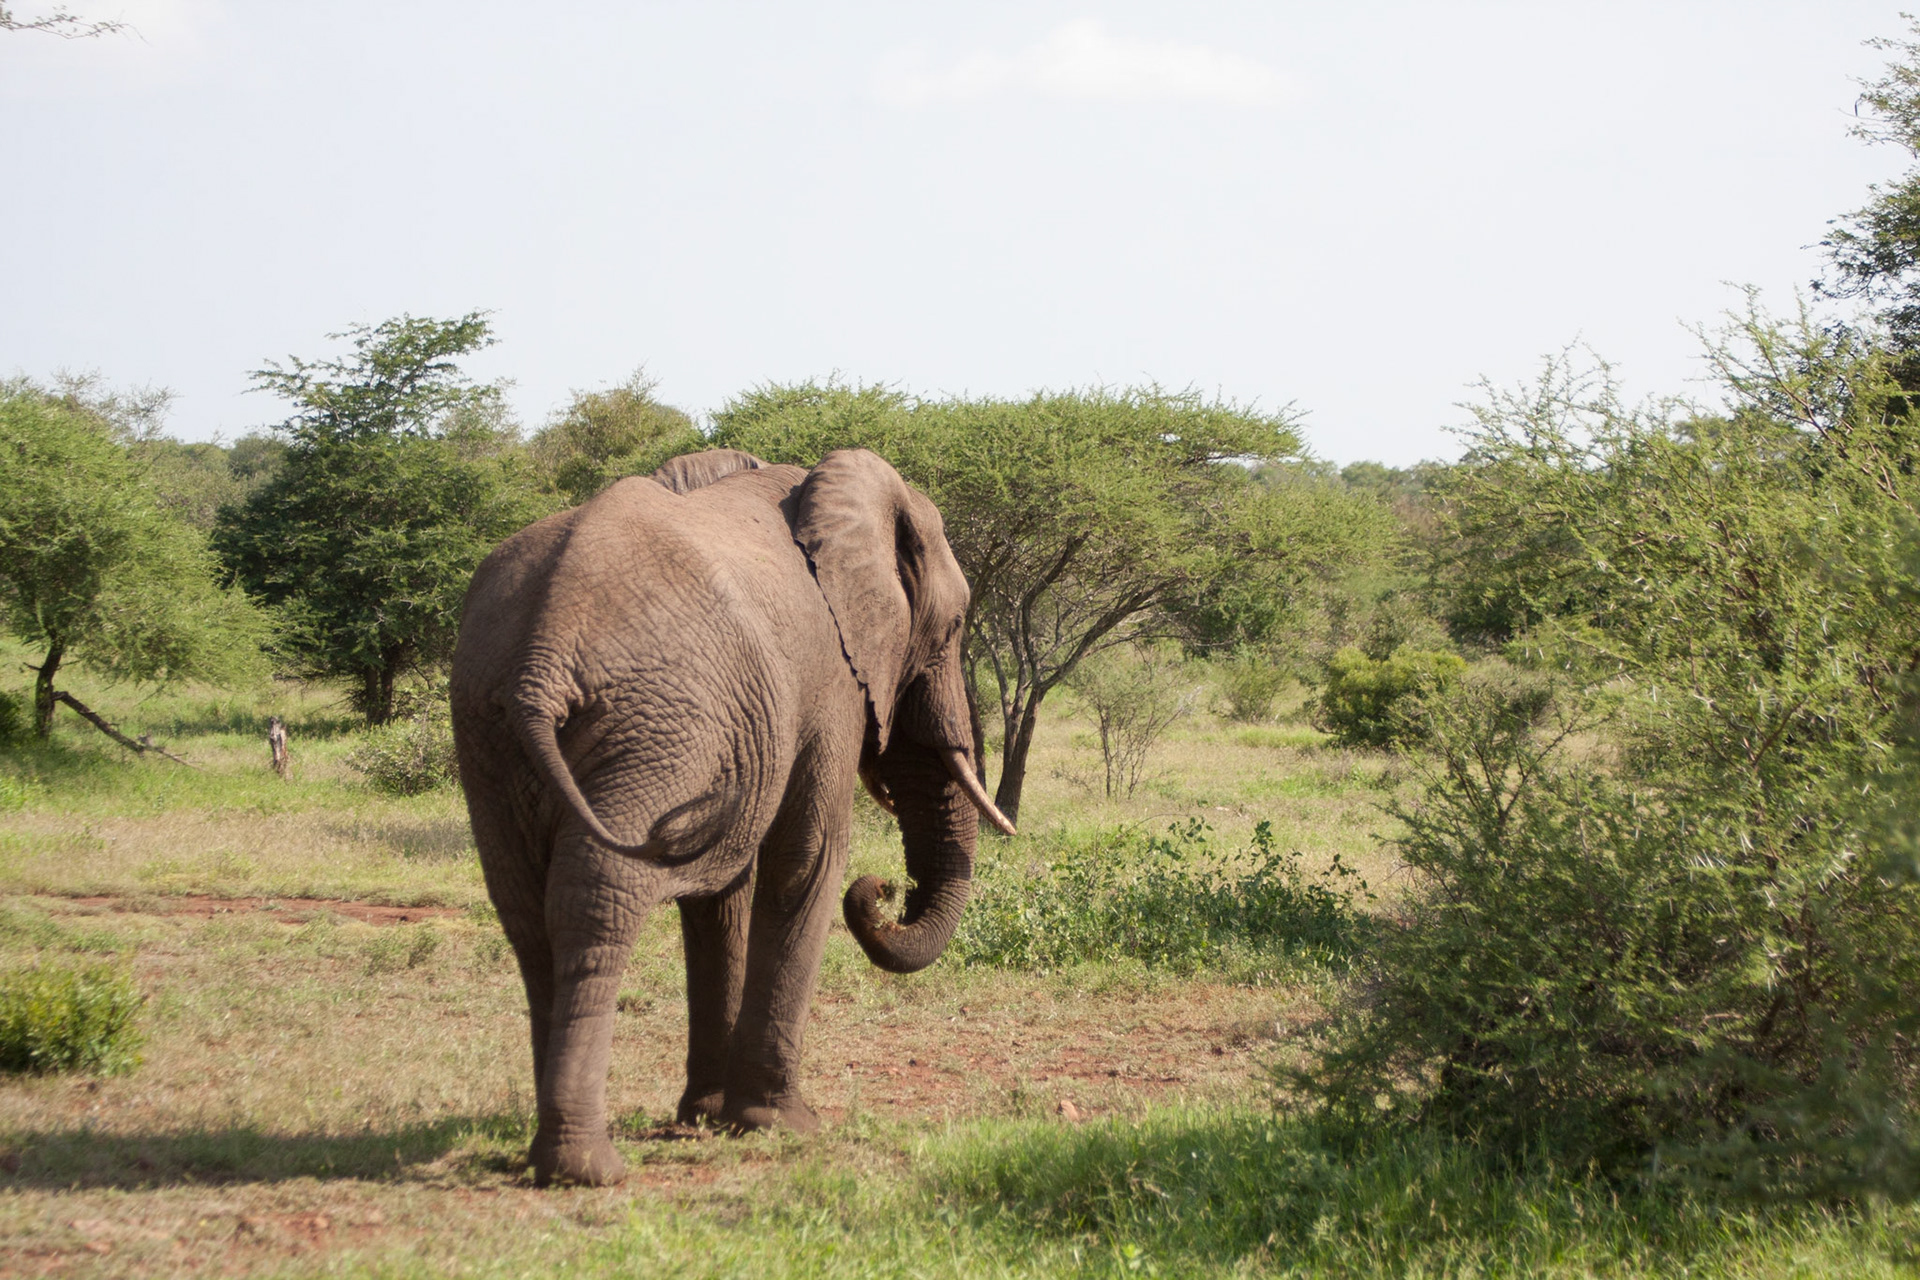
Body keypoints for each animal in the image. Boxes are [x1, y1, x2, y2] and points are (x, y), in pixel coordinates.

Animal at [450, 446, 1015, 1187]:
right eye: (951, 629)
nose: (883, 889)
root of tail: (540, 664)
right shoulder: (830, 679)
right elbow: (807, 859)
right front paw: (782, 1124)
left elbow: (721, 899)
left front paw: (708, 1115)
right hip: (655, 726)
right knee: (595, 900)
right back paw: (588, 1167)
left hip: (493, 729)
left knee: (524, 910)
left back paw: (551, 1155)